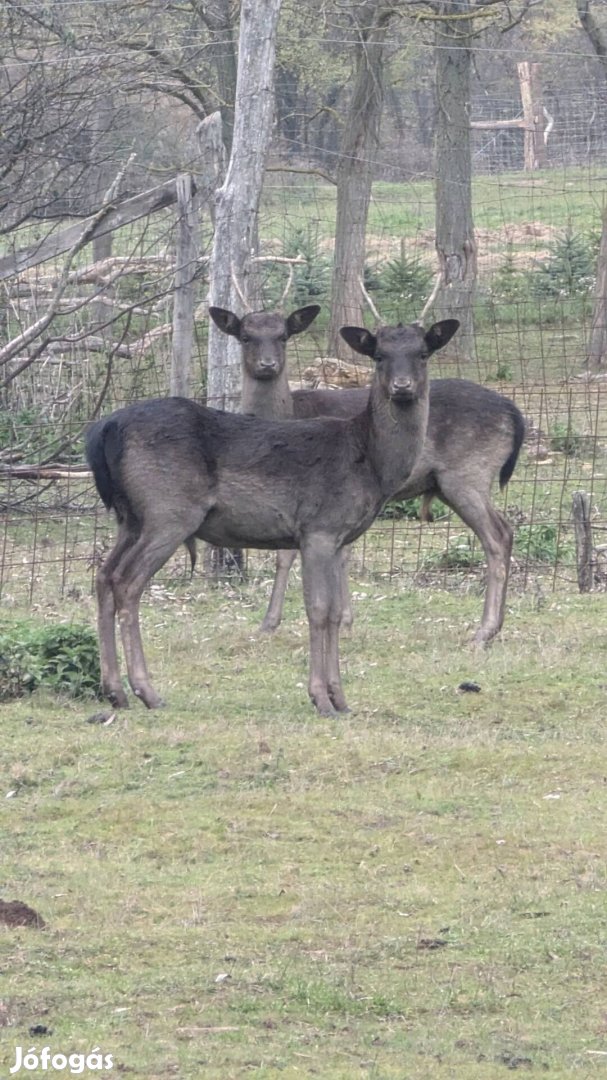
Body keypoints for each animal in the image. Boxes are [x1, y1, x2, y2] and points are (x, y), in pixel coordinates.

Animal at [86, 315, 457, 717]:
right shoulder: (319, 528)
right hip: (169, 511)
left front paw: (341, 699)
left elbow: (332, 611)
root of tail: (103, 431)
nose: (402, 387)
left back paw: (115, 691)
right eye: (379, 356)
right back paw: (146, 691)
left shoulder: (336, 536)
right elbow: (319, 609)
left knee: (104, 576)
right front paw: (321, 698)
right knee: (127, 582)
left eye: (422, 354)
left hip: (130, 517)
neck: (372, 466)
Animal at [209, 304, 524, 643]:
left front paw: (270, 622)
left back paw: (484, 630)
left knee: (498, 535)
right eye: (245, 337)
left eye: (282, 336)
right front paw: (346, 620)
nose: (268, 365)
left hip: (467, 474)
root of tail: (514, 413)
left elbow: (289, 554)